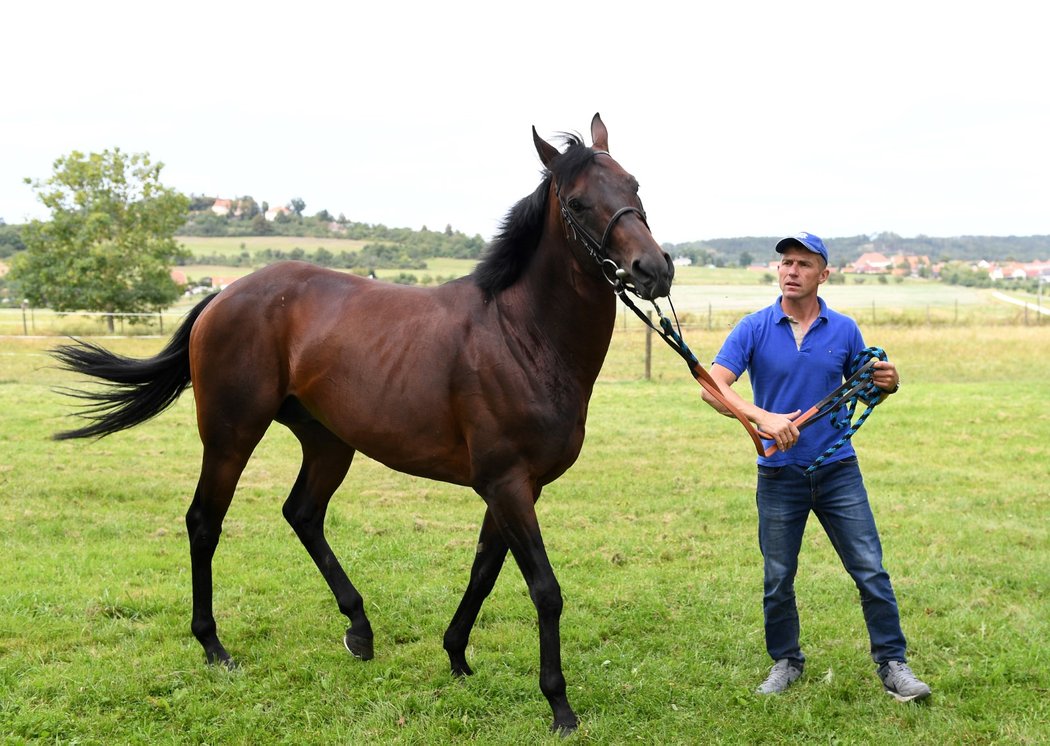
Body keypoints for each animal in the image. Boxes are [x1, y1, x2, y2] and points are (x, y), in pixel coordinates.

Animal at [55, 114, 672, 735]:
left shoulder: (517, 488)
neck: (519, 333)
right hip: (231, 436)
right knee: (205, 522)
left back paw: (359, 628)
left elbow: (484, 571)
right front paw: (559, 704)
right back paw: (214, 647)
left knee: (302, 514)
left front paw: (456, 654)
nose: (655, 270)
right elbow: (544, 590)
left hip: (329, 443)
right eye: (577, 202)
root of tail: (225, 295)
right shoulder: (507, 485)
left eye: (634, 184)